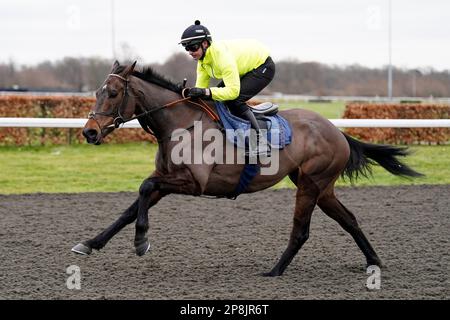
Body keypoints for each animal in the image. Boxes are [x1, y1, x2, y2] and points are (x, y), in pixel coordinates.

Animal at [72, 61, 424, 276]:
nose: (89, 132)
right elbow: (131, 207)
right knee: (349, 219)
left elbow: (143, 188)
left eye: (113, 93)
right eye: (96, 92)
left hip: (311, 184)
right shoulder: (166, 179)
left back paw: (275, 270)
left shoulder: (193, 183)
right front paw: (90, 243)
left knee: (301, 230)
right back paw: (374, 261)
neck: (180, 124)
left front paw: (141, 241)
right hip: (322, 187)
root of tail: (336, 130)